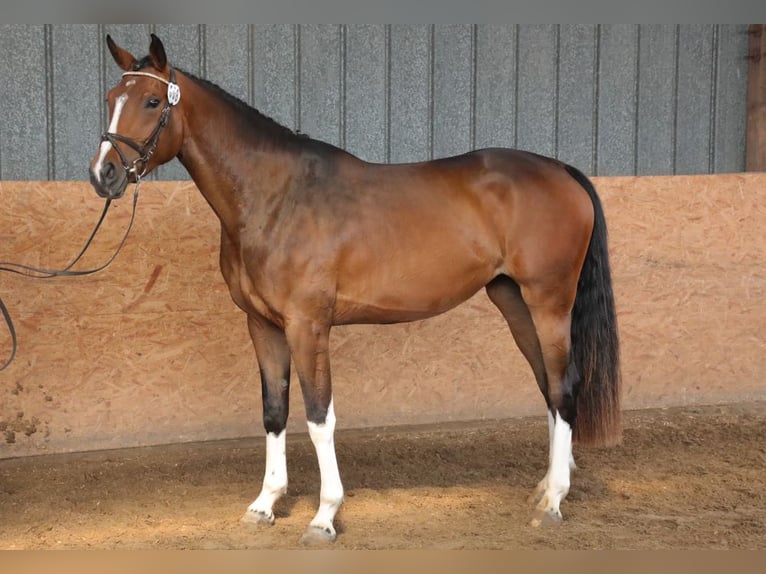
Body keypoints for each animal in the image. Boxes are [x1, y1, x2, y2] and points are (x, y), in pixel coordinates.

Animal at [89, 34, 621, 545]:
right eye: (112, 97)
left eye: (153, 101)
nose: (103, 174)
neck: (277, 197)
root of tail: (562, 171)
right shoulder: (262, 325)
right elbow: (274, 411)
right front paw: (265, 504)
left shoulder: (307, 326)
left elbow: (318, 416)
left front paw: (324, 516)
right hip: (513, 300)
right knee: (549, 387)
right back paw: (544, 488)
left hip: (549, 301)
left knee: (564, 385)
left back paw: (554, 501)